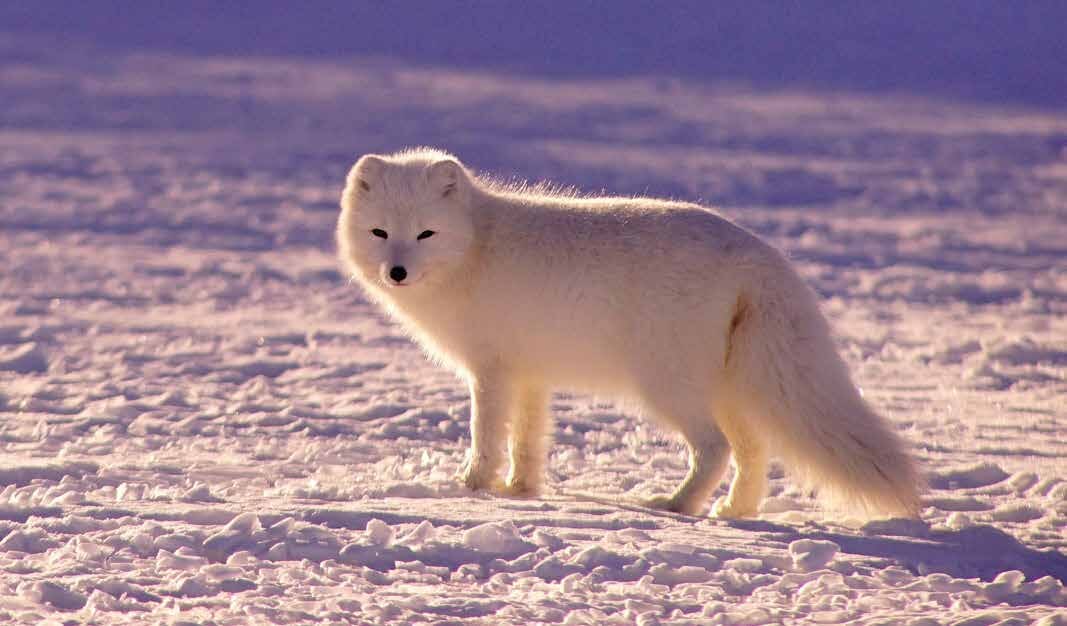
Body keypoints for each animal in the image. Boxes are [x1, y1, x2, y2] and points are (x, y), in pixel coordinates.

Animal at [337, 147, 921, 518]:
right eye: (380, 233)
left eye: (426, 234)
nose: (397, 272)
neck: (476, 247)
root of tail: (760, 254)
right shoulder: (531, 374)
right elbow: (528, 439)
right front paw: (521, 490)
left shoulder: (492, 371)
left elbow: (486, 436)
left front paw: (471, 487)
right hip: (729, 388)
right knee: (754, 451)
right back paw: (735, 511)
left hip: (667, 387)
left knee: (715, 448)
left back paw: (679, 505)